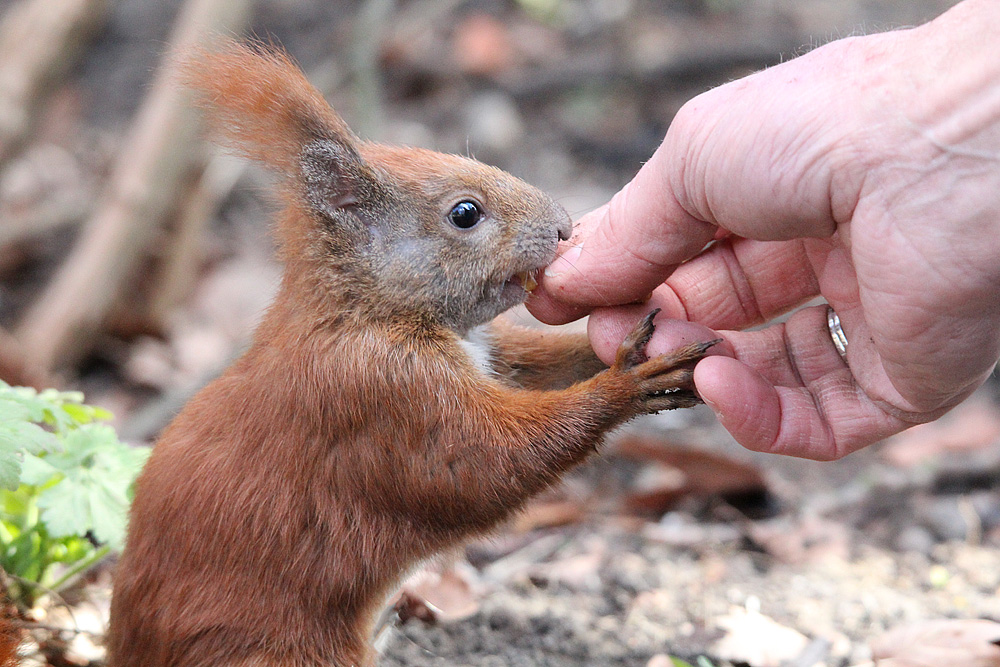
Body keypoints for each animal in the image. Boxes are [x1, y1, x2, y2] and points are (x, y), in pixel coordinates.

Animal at [107, 41, 720, 667]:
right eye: (465, 214)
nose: (564, 228)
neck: (365, 309)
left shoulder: (489, 354)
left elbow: (539, 367)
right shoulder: (385, 391)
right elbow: (482, 464)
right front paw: (626, 381)